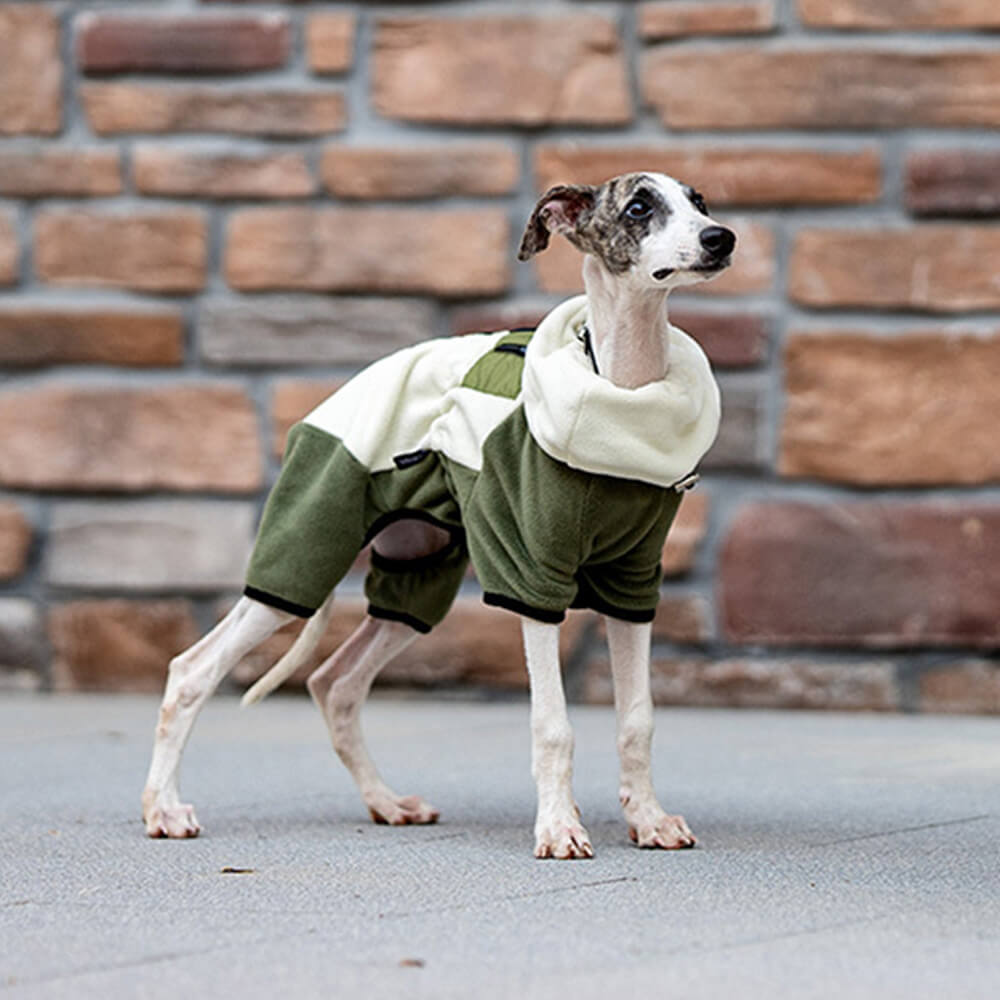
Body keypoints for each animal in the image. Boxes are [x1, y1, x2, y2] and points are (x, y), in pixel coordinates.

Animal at [141, 172, 736, 860]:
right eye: (639, 206)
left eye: (700, 202)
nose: (722, 239)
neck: (621, 386)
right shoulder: (531, 576)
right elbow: (552, 724)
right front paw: (559, 827)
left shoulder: (632, 583)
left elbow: (638, 718)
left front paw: (650, 819)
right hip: (304, 551)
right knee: (193, 670)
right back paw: (164, 809)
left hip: (417, 576)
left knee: (335, 683)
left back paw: (386, 802)